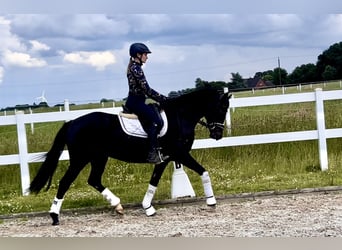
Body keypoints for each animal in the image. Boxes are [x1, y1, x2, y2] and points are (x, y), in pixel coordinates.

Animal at [29, 86, 231, 225]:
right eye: (222, 108)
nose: (217, 135)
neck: (180, 117)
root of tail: (72, 122)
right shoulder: (179, 154)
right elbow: (203, 171)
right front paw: (211, 201)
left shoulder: (165, 159)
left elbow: (154, 181)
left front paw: (148, 208)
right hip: (80, 159)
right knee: (65, 182)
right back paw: (54, 216)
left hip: (99, 157)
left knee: (94, 180)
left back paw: (118, 206)